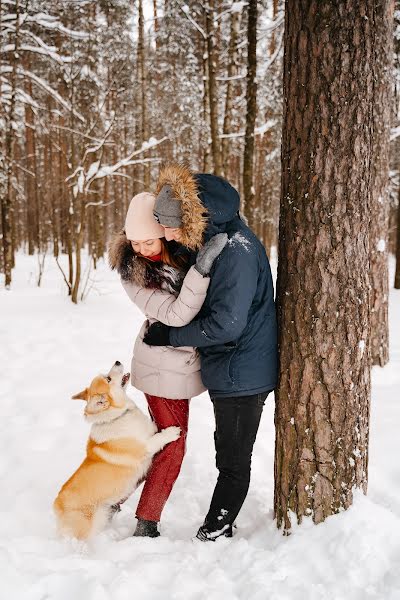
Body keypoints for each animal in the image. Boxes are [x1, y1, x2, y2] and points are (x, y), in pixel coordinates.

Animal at [52, 358, 180, 540]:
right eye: (109, 379)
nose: (117, 361)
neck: (118, 416)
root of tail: (57, 505)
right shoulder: (145, 447)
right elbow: (158, 439)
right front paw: (172, 432)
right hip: (84, 528)